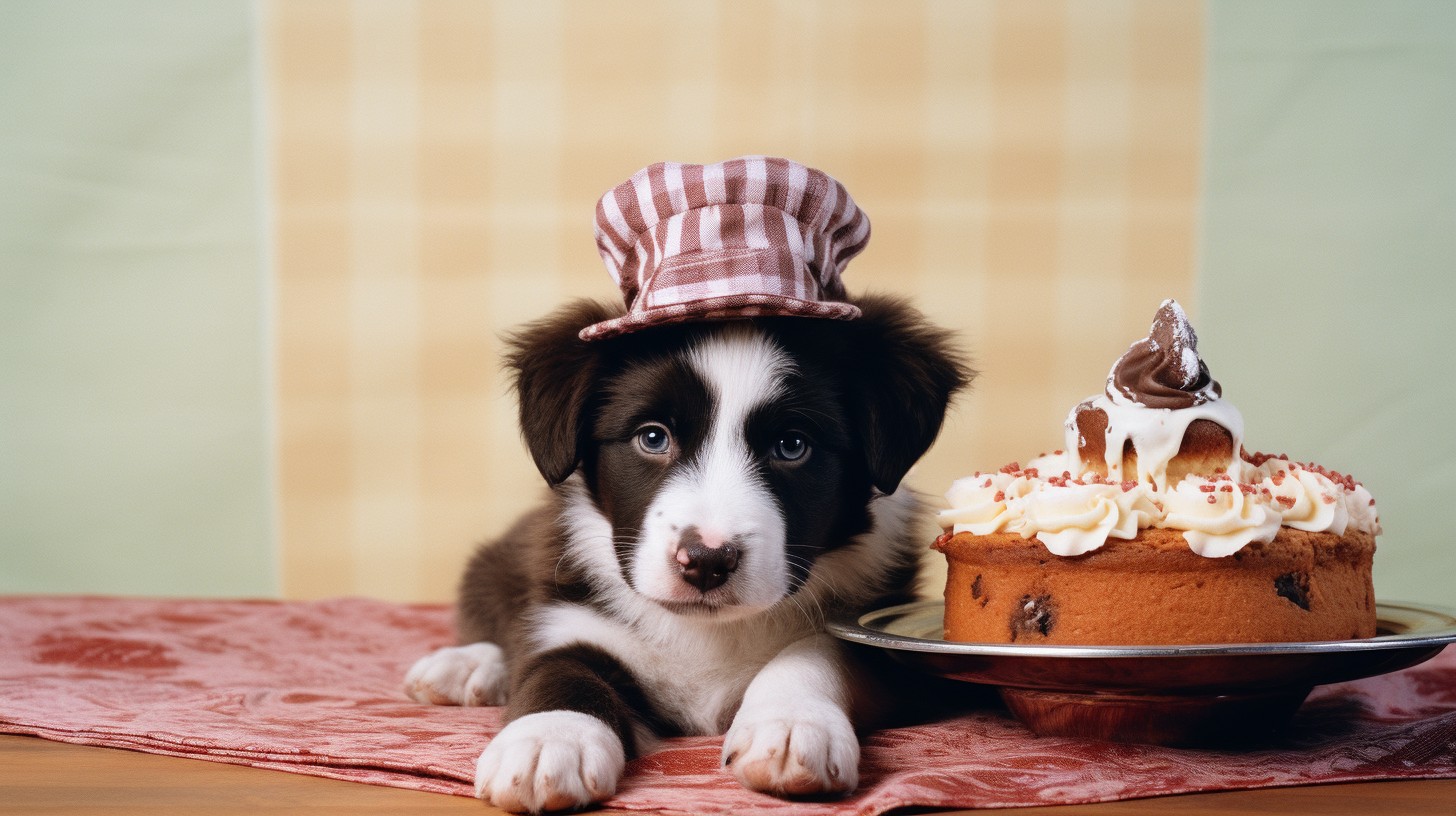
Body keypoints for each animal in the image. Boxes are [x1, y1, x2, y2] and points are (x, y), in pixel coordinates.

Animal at [404, 292, 966, 810]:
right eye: (652, 437)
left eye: (792, 445)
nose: (706, 562)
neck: (707, 632)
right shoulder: (569, 613)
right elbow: (559, 670)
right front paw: (549, 739)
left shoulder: (894, 649)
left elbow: (822, 650)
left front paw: (791, 724)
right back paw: (465, 666)